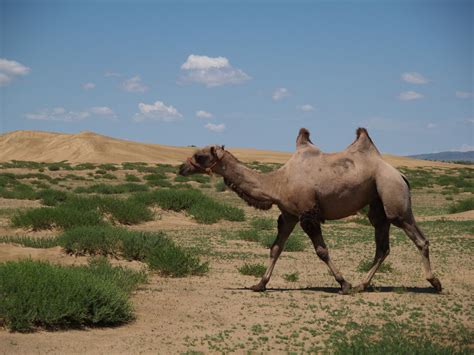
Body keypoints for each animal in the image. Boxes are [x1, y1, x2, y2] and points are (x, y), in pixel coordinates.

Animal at [178, 128, 440, 294]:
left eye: (200, 155)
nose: (182, 168)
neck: (277, 184)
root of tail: (401, 175)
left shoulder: (307, 214)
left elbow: (321, 251)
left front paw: (343, 284)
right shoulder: (289, 215)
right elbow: (275, 248)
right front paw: (259, 284)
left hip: (392, 194)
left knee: (419, 238)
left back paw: (434, 282)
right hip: (377, 203)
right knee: (382, 247)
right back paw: (362, 285)